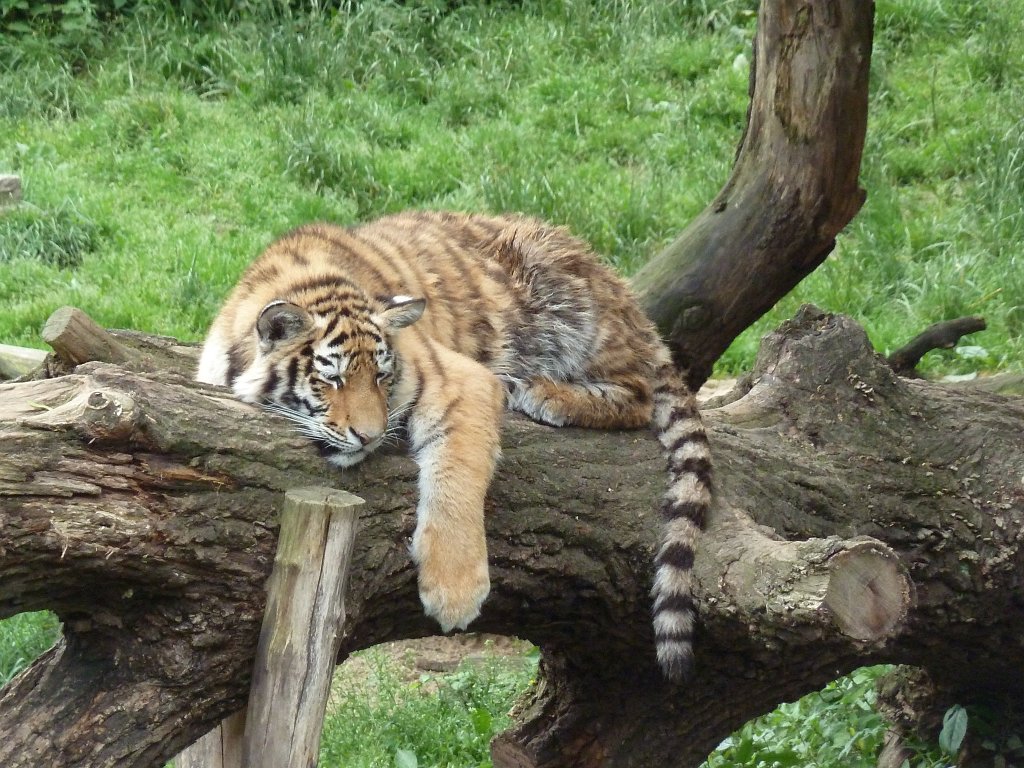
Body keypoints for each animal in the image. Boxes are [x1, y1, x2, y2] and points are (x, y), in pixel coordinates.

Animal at [195, 210, 711, 681]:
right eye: (333, 379)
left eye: (381, 376)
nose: (370, 435)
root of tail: (622, 293)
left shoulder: (462, 379)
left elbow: (457, 477)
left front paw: (454, 594)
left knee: (639, 396)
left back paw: (542, 393)